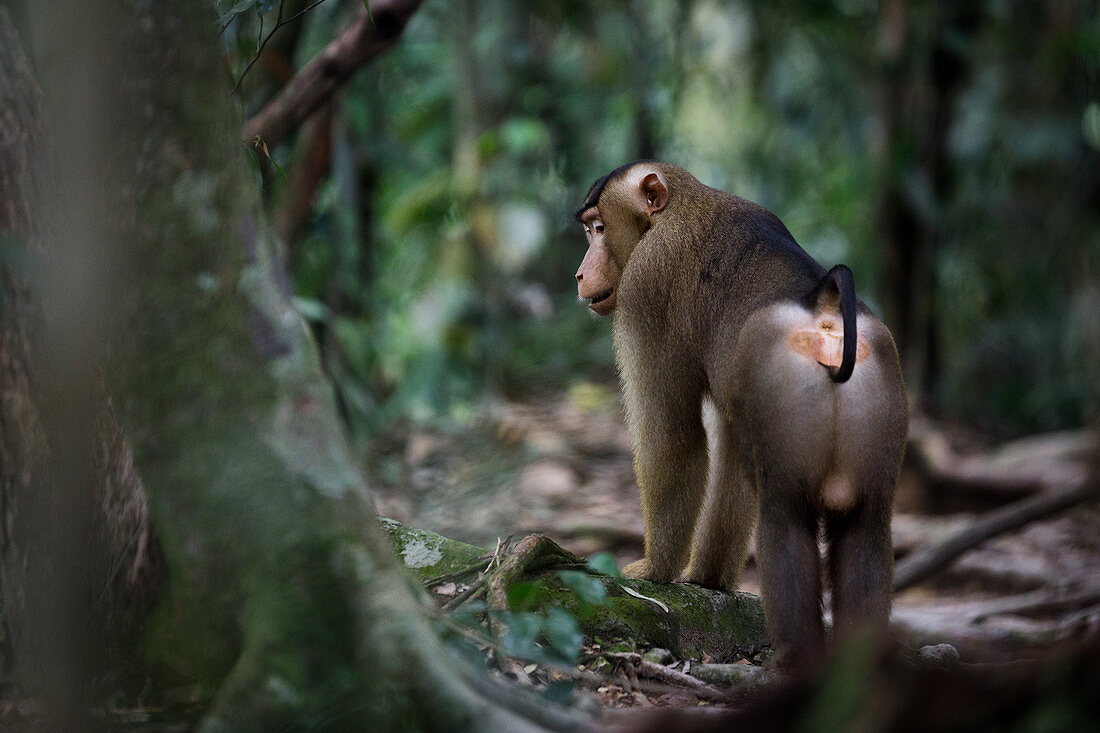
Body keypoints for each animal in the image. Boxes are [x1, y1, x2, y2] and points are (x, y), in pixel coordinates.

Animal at [572, 162, 906, 660]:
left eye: (598, 228)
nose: (579, 274)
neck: (678, 206)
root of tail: (823, 306)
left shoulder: (647, 285)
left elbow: (673, 438)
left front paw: (655, 570)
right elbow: (730, 447)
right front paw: (707, 579)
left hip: (788, 389)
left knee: (784, 519)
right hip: (879, 377)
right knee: (865, 523)